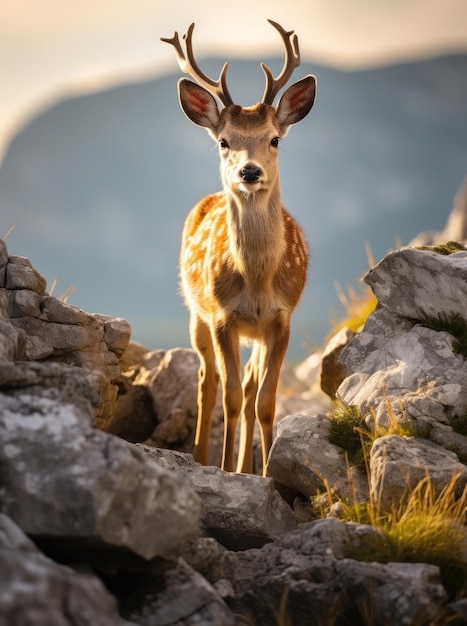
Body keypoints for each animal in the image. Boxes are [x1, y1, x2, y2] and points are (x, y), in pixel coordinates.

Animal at [162, 19, 318, 472]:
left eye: (275, 139)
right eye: (224, 141)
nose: (249, 172)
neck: (257, 280)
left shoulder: (282, 320)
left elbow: (265, 401)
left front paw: (263, 471)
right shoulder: (222, 317)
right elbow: (230, 397)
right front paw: (227, 468)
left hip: (255, 333)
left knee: (248, 389)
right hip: (195, 312)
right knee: (208, 380)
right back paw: (202, 456)